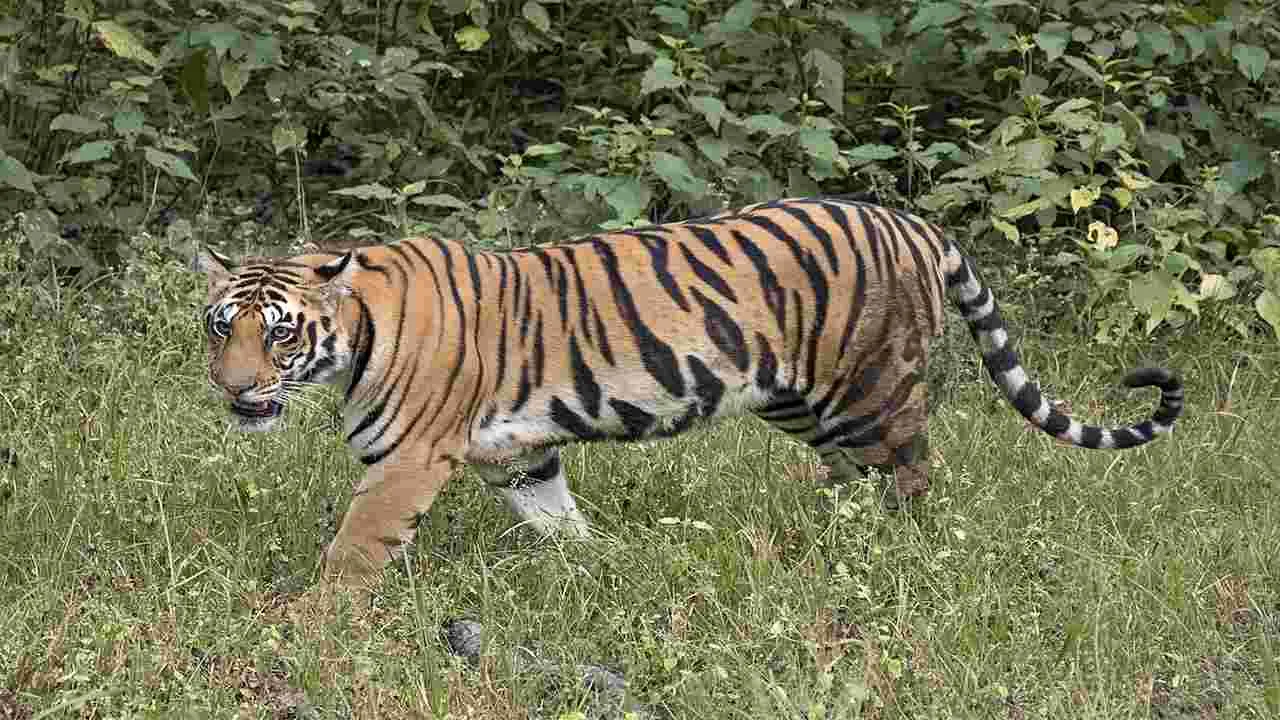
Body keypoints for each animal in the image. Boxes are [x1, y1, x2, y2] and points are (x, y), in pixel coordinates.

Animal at [192, 196, 1184, 587]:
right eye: (217, 326)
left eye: (279, 332)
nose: (235, 391)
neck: (353, 336)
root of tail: (912, 222)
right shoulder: (520, 456)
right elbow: (558, 518)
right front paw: (595, 570)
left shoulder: (407, 461)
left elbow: (355, 548)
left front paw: (315, 622)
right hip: (801, 400)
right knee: (855, 477)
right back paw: (820, 532)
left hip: (869, 390)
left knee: (911, 473)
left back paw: (888, 549)